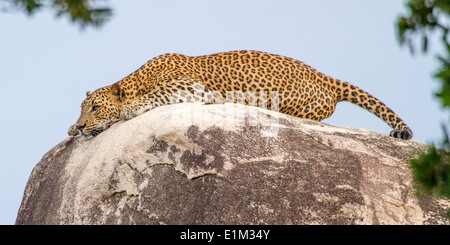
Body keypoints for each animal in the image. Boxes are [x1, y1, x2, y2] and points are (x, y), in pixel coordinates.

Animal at [67, 49, 412, 140]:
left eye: (96, 108)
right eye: (83, 108)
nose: (81, 126)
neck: (137, 79)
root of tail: (323, 76)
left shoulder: (191, 87)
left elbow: (155, 94)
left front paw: (130, 109)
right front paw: (71, 128)